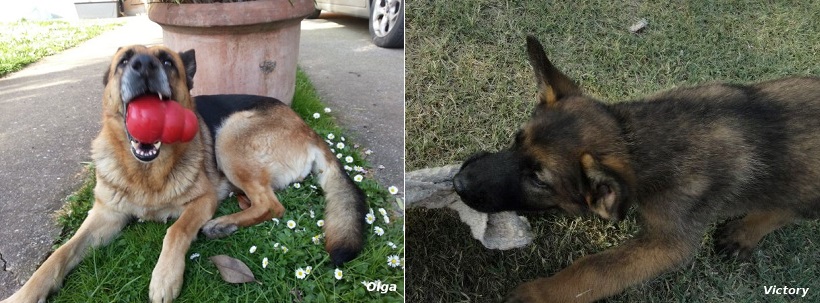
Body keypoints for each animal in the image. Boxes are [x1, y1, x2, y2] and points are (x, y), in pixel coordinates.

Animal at [0, 45, 366, 303]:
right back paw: (229, 221)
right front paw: (25, 293)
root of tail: (308, 129)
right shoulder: (105, 216)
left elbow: (175, 231)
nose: (143, 65)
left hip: (230, 135)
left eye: (166, 62)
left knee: (273, 205)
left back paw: (221, 223)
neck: (146, 172)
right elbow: (59, 254)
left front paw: (164, 278)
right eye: (124, 61)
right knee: (260, 200)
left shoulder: (202, 200)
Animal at [452, 36, 820, 303]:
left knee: (790, 209)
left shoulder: (668, 244)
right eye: (516, 141)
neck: (636, 140)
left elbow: (594, 269)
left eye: (539, 180)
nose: (457, 181)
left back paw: (746, 231)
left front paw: (538, 294)